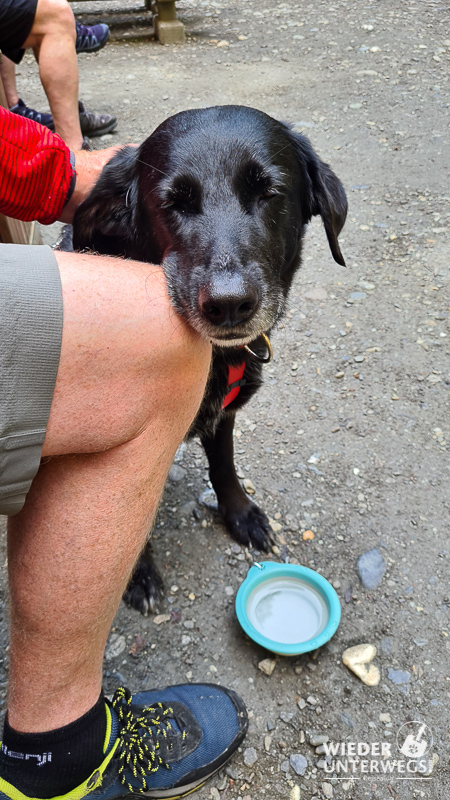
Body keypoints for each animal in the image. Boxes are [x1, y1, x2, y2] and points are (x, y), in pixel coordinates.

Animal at [73, 101, 348, 612]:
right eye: (172, 203)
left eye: (269, 191)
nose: (229, 303)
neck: (215, 359)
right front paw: (138, 574)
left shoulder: (224, 415)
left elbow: (224, 465)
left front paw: (241, 514)